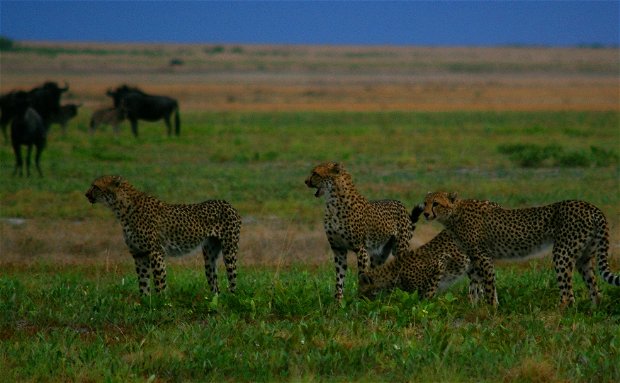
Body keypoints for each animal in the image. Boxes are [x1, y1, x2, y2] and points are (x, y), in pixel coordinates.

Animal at [86, 176, 241, 296]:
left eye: (95, 186)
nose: (86, 194)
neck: (121, 208)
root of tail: (226, 202)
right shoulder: (139, 254)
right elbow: (143, 281)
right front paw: (145, 302)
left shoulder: (156, 251)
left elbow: (159, 281)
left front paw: (162, 303)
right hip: (209, 254)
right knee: (215, 283)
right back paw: (215, 300)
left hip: (229, 251)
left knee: (233, 280)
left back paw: (232, 299)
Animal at [304, 161, 416, 300]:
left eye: (315, 173)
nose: (305, 181)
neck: (332, 202)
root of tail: (399, 202)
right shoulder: (338, 249)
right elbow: (339, 280)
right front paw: (338, 302)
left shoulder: (361, 249)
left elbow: (361, 276)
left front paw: (359, 300)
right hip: (379, 255)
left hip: (399, 249)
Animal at [424, 192, 616, 308]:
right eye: (425, 203)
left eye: (436, 203)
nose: (425, 213)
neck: (453, 215)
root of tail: (591, 207)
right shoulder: (476, 258)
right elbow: (475, 286)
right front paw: (474, 307)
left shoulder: (483, 256)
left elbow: (488, 284)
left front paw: (492, 308)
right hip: (585, 257)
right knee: (595, 291)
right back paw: (592, 311)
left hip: (562, 253)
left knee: (568, 294)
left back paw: (559, 311)